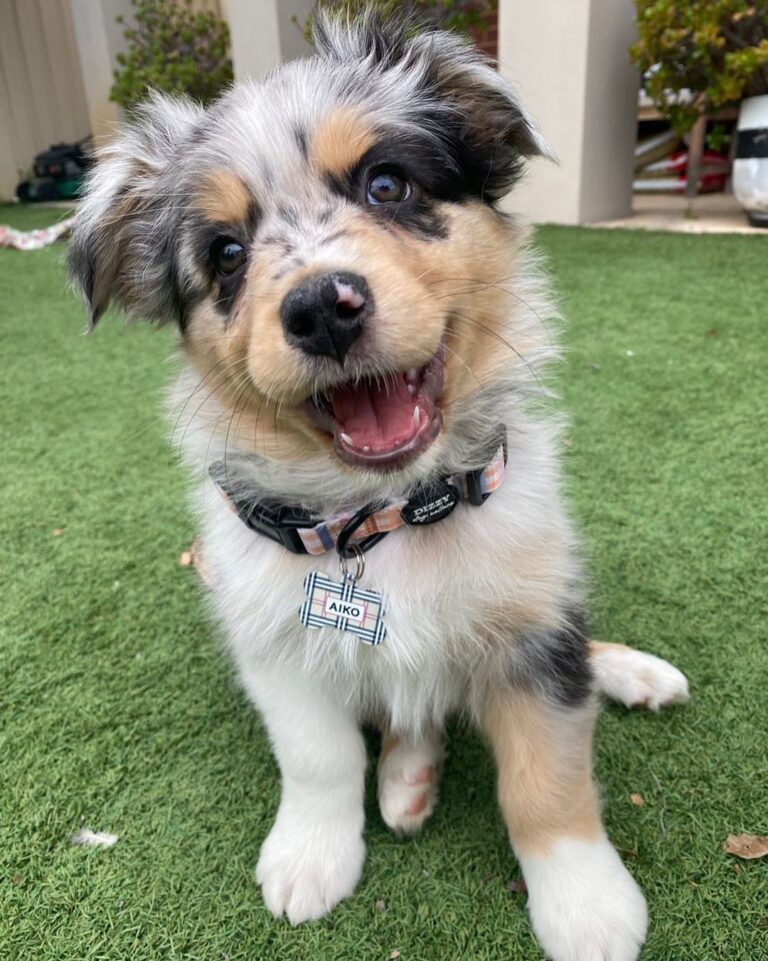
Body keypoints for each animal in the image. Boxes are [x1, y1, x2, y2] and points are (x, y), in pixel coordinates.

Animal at [67, 13, 688, 960]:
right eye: (226, 253)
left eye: (387, 183)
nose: (322, 307)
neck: (388, 515)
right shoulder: (276, 644)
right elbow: (320, 758)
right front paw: (310, 858)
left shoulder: (532, 632)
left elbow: (546, 776)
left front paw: (587, 905)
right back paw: (408, 777)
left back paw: (631, 672)